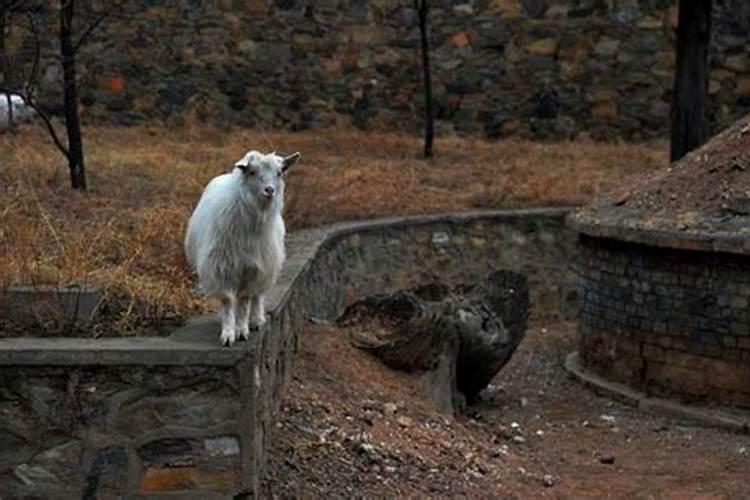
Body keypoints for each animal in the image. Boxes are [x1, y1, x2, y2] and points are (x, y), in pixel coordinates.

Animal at [186, 150, 302, 346]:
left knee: (258, 295)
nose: (269, 190)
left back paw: (256, 320)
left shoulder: (252, 269)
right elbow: (227, 301)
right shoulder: (221, 268)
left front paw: (241, 330)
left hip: (267, 266)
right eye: (252, 172)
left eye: (279, 173)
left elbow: (245, 300)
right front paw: (228, 333)